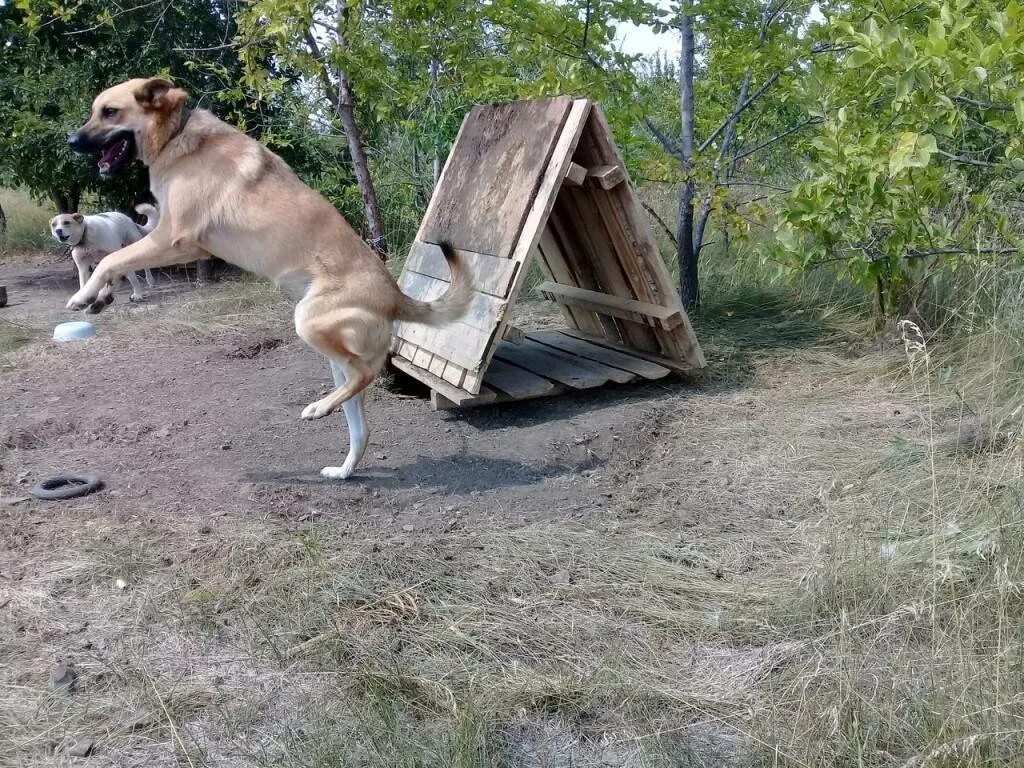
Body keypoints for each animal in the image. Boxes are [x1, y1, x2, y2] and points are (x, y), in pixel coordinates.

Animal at [70, 76, 468, 475]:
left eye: (110, 112)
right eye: (94, 111)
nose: (71, 141)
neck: (176, 135)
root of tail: (394, 295)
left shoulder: (173, 239)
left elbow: (111, 260)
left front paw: (83, 296)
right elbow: (117, 264)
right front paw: (100, 298)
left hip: (309, 323)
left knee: (364, 375)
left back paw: (318, 408)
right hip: (331, 354)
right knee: (361, 423)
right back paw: (342, 467)